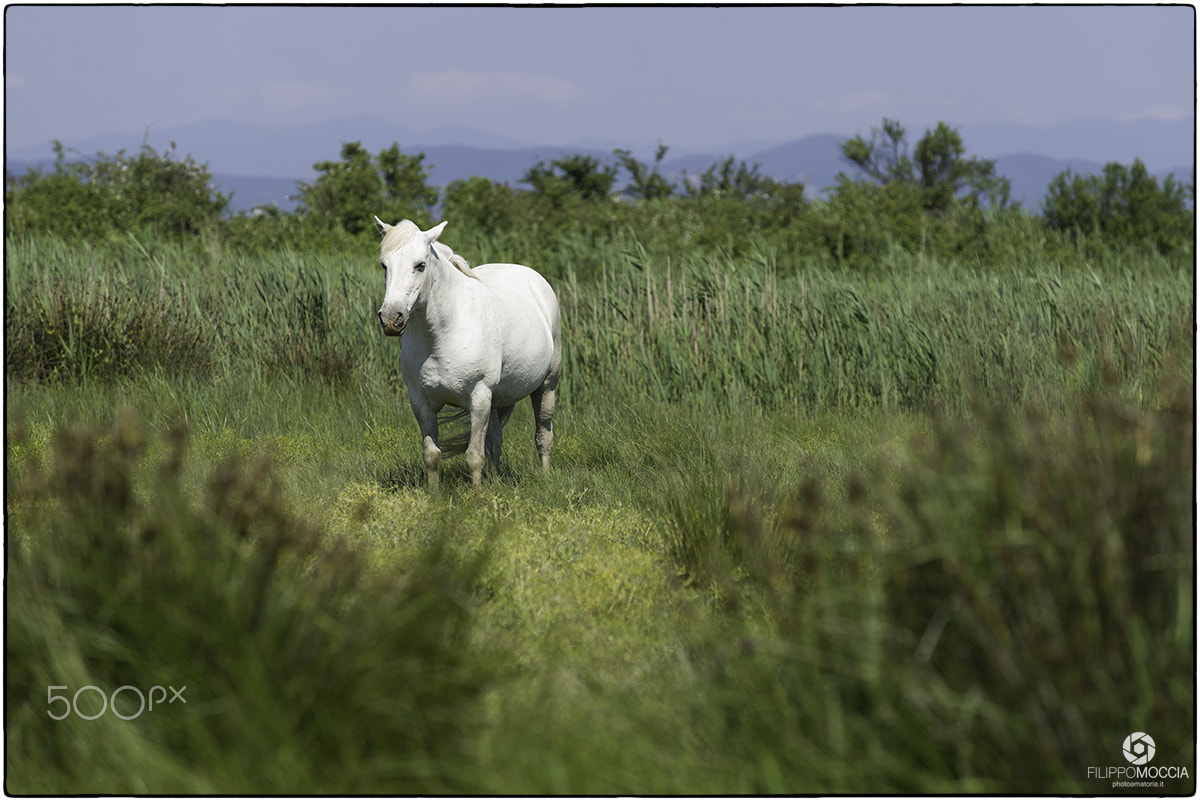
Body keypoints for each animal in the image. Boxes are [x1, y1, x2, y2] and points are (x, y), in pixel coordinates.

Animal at [375, 217, 561, 491]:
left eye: (420, 265)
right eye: (384, 265)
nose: (391, 318)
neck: (444, 334)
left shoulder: (479, 397)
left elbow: (474, 455)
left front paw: (476, 496)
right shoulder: (420, 401)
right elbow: (432, 455)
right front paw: (435, 495)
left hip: (546, 387)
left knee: (543, 434)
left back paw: (546, 477)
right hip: (496, 400)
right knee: (495, 441)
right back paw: (495, 481)